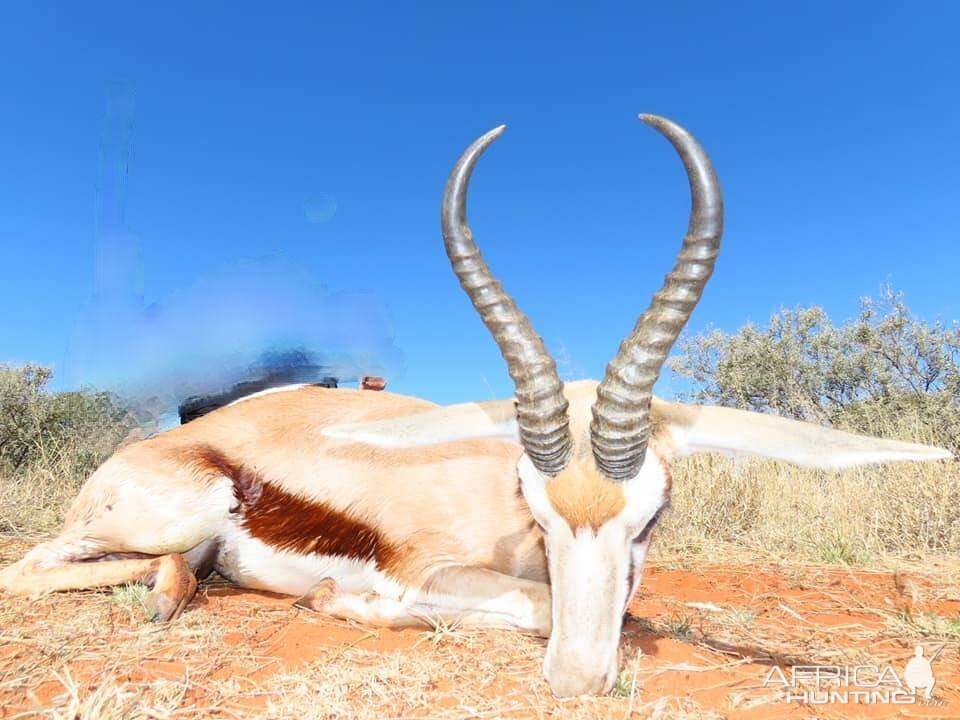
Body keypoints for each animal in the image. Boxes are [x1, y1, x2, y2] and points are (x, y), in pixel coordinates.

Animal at [0, 114, 948, 696]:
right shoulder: (435, 572)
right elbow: (531, 605)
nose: (576, 681)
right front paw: (344, 604)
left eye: (655, 514)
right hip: (175, 511)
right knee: (36, 564)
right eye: (533, 501)